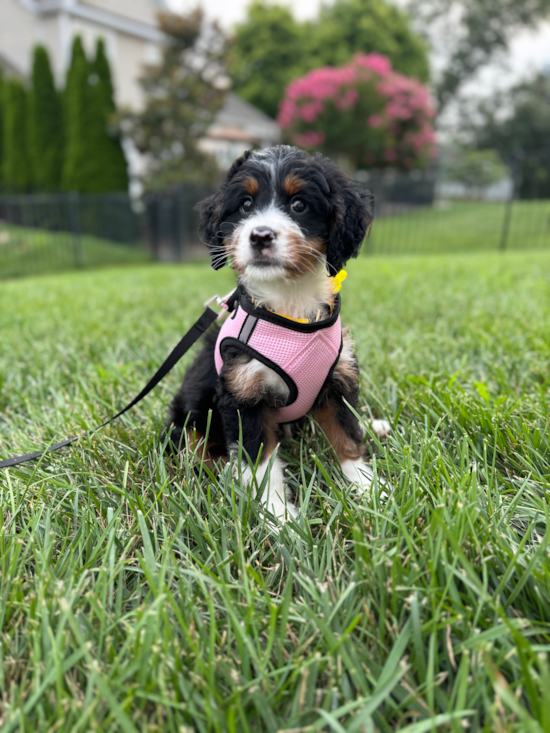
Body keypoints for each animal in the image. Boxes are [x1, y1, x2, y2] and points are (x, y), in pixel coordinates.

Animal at [166, 143, 390, 520]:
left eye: (299, 205)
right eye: (245, 205)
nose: (260, 235)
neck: (290, 305)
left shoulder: (337, 377)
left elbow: (347, 434)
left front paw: (367, 487)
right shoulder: (244, 394)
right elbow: (260, 466)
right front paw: (280, 518)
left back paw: (373, 424)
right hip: (194, 407)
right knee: (193, 446)